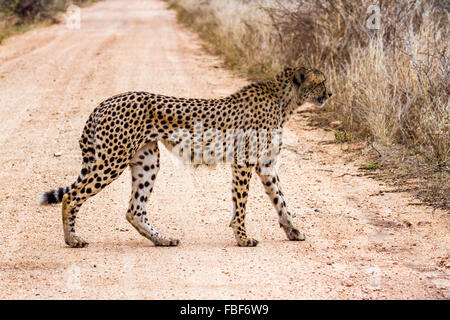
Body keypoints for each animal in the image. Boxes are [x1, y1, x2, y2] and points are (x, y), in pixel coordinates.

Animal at [39, 67, 330, 248]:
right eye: (322, 81)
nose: (330, 94)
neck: (285, 101)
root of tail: (107, 100)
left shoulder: (266, 165)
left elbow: (281, 200)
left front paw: (293, 231)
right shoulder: (244, 161)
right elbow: (241, 204)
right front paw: (242, 238)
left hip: (147, 160)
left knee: (134, 210)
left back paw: (162, 239)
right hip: (112, 159)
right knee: (71, 196)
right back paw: (72, 239)